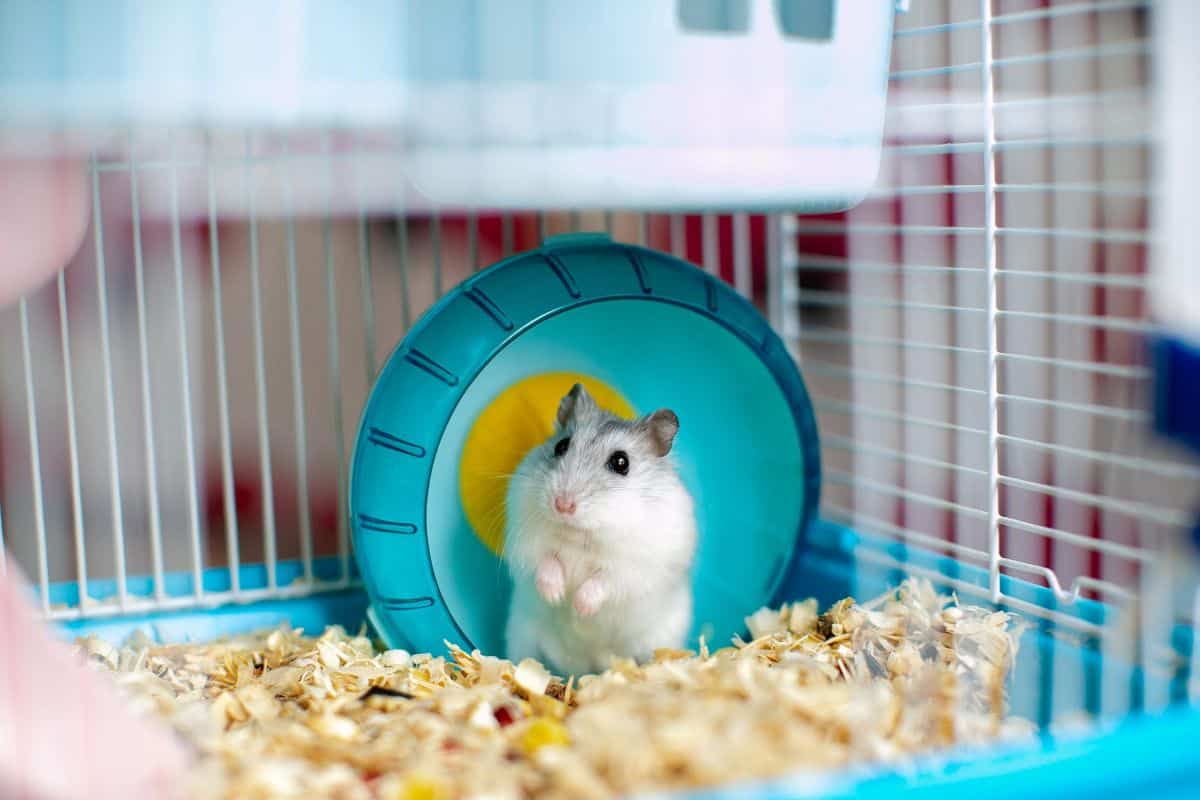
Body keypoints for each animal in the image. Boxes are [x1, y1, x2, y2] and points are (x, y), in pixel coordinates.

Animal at [502, 383, 697, 676]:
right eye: (561, 446)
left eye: (621, 462)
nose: (562, 505)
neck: (582, 535)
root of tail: (585, 670)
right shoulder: (529, 544)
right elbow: (546, 562)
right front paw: (556, 595)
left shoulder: (634, 569)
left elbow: (603, 581)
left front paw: (579, 607)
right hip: (521, 636)